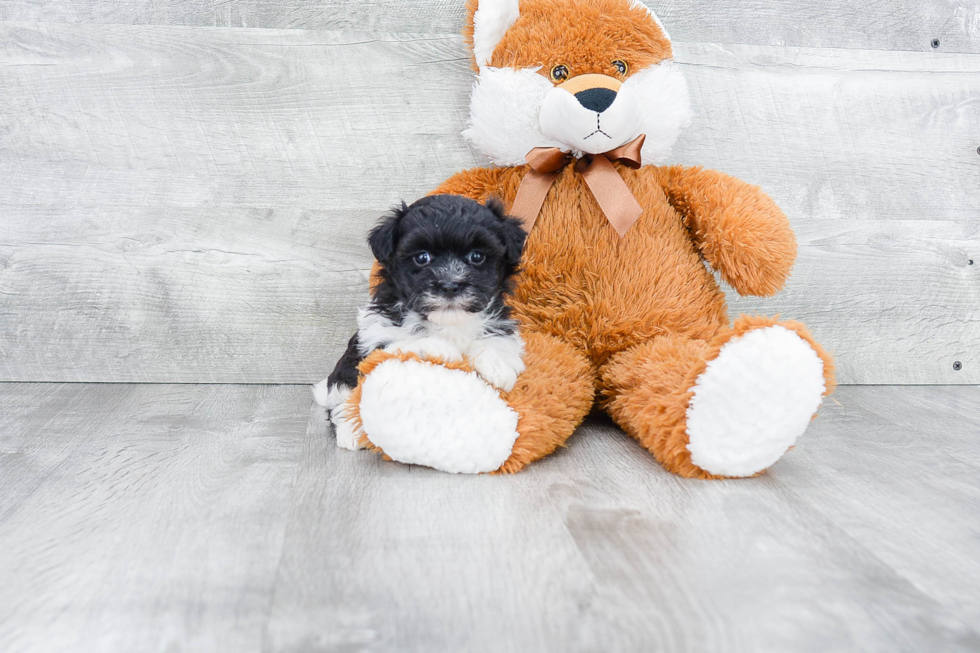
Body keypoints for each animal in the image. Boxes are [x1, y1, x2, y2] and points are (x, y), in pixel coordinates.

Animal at [314, 192, 528, 448]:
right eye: (422, 257)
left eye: (476, 256)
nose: (449, 285)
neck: (446, 322)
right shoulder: (377, 335)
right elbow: (406, 341)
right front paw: (441, 349)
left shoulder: (500, 323)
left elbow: (497, 338)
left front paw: (497, 365)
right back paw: (350, 431)